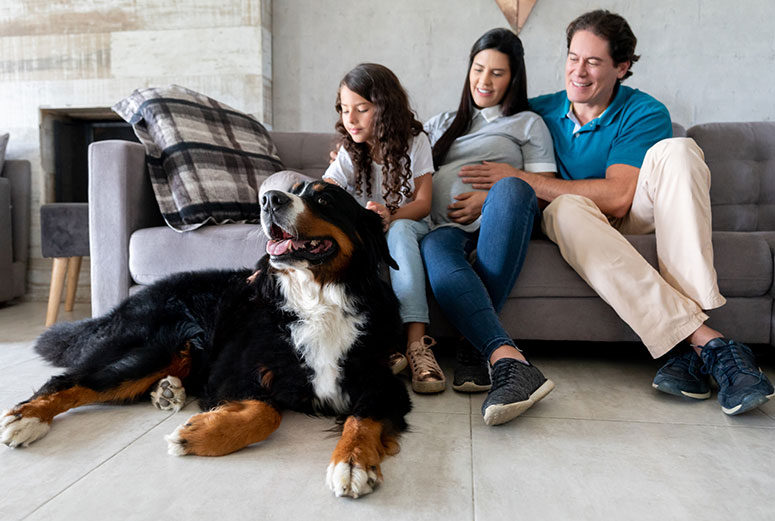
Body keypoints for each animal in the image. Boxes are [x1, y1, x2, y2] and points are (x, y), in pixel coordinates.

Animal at [0, 181, 412, 498]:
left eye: (324, 200)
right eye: (292, 190)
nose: (269, 199)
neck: (319, 300)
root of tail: (131, 299)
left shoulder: (381, 381)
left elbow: (362, 418)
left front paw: (354, 462)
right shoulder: (232, 372)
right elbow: (266, 411)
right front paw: (198, 435)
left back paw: (167, 391)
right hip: (158, 346)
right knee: (73, 380)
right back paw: (27, 418)